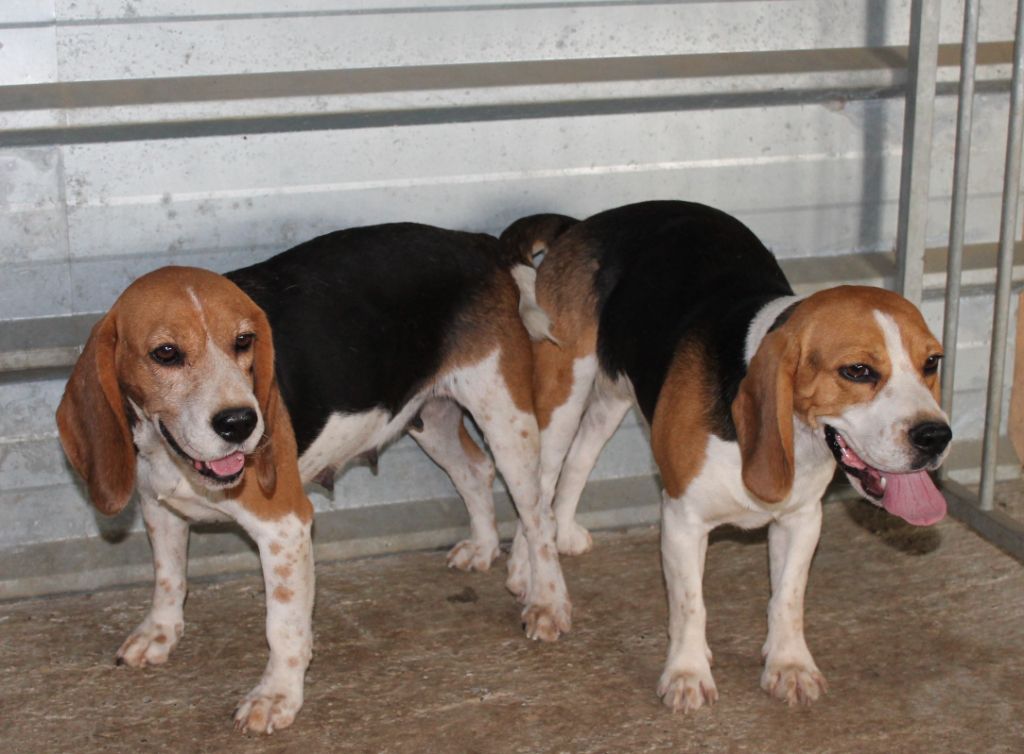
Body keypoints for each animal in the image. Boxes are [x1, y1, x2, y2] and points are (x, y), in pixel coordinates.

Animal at [57, 267, 314, 733]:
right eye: (166, 353)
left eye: (244, 341)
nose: (240, 423)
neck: (173, 456)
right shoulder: (159, 508)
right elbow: (168, 576)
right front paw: (160, 631)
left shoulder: (284, 528)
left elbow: (283, 624)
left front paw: (277, 694)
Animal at [502, 200, 951, 711]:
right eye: (857, 371)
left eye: (932, 362)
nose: (937, 436)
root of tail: (584, 225)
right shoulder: (682, 520)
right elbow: (691, 605)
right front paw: (687, 674)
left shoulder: (801, 520)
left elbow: (788, 598)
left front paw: (789, 664)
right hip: (561, 395)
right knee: (537, 493)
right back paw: (538, 588)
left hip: (611, 398)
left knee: (577, 463)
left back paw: (564, 534)